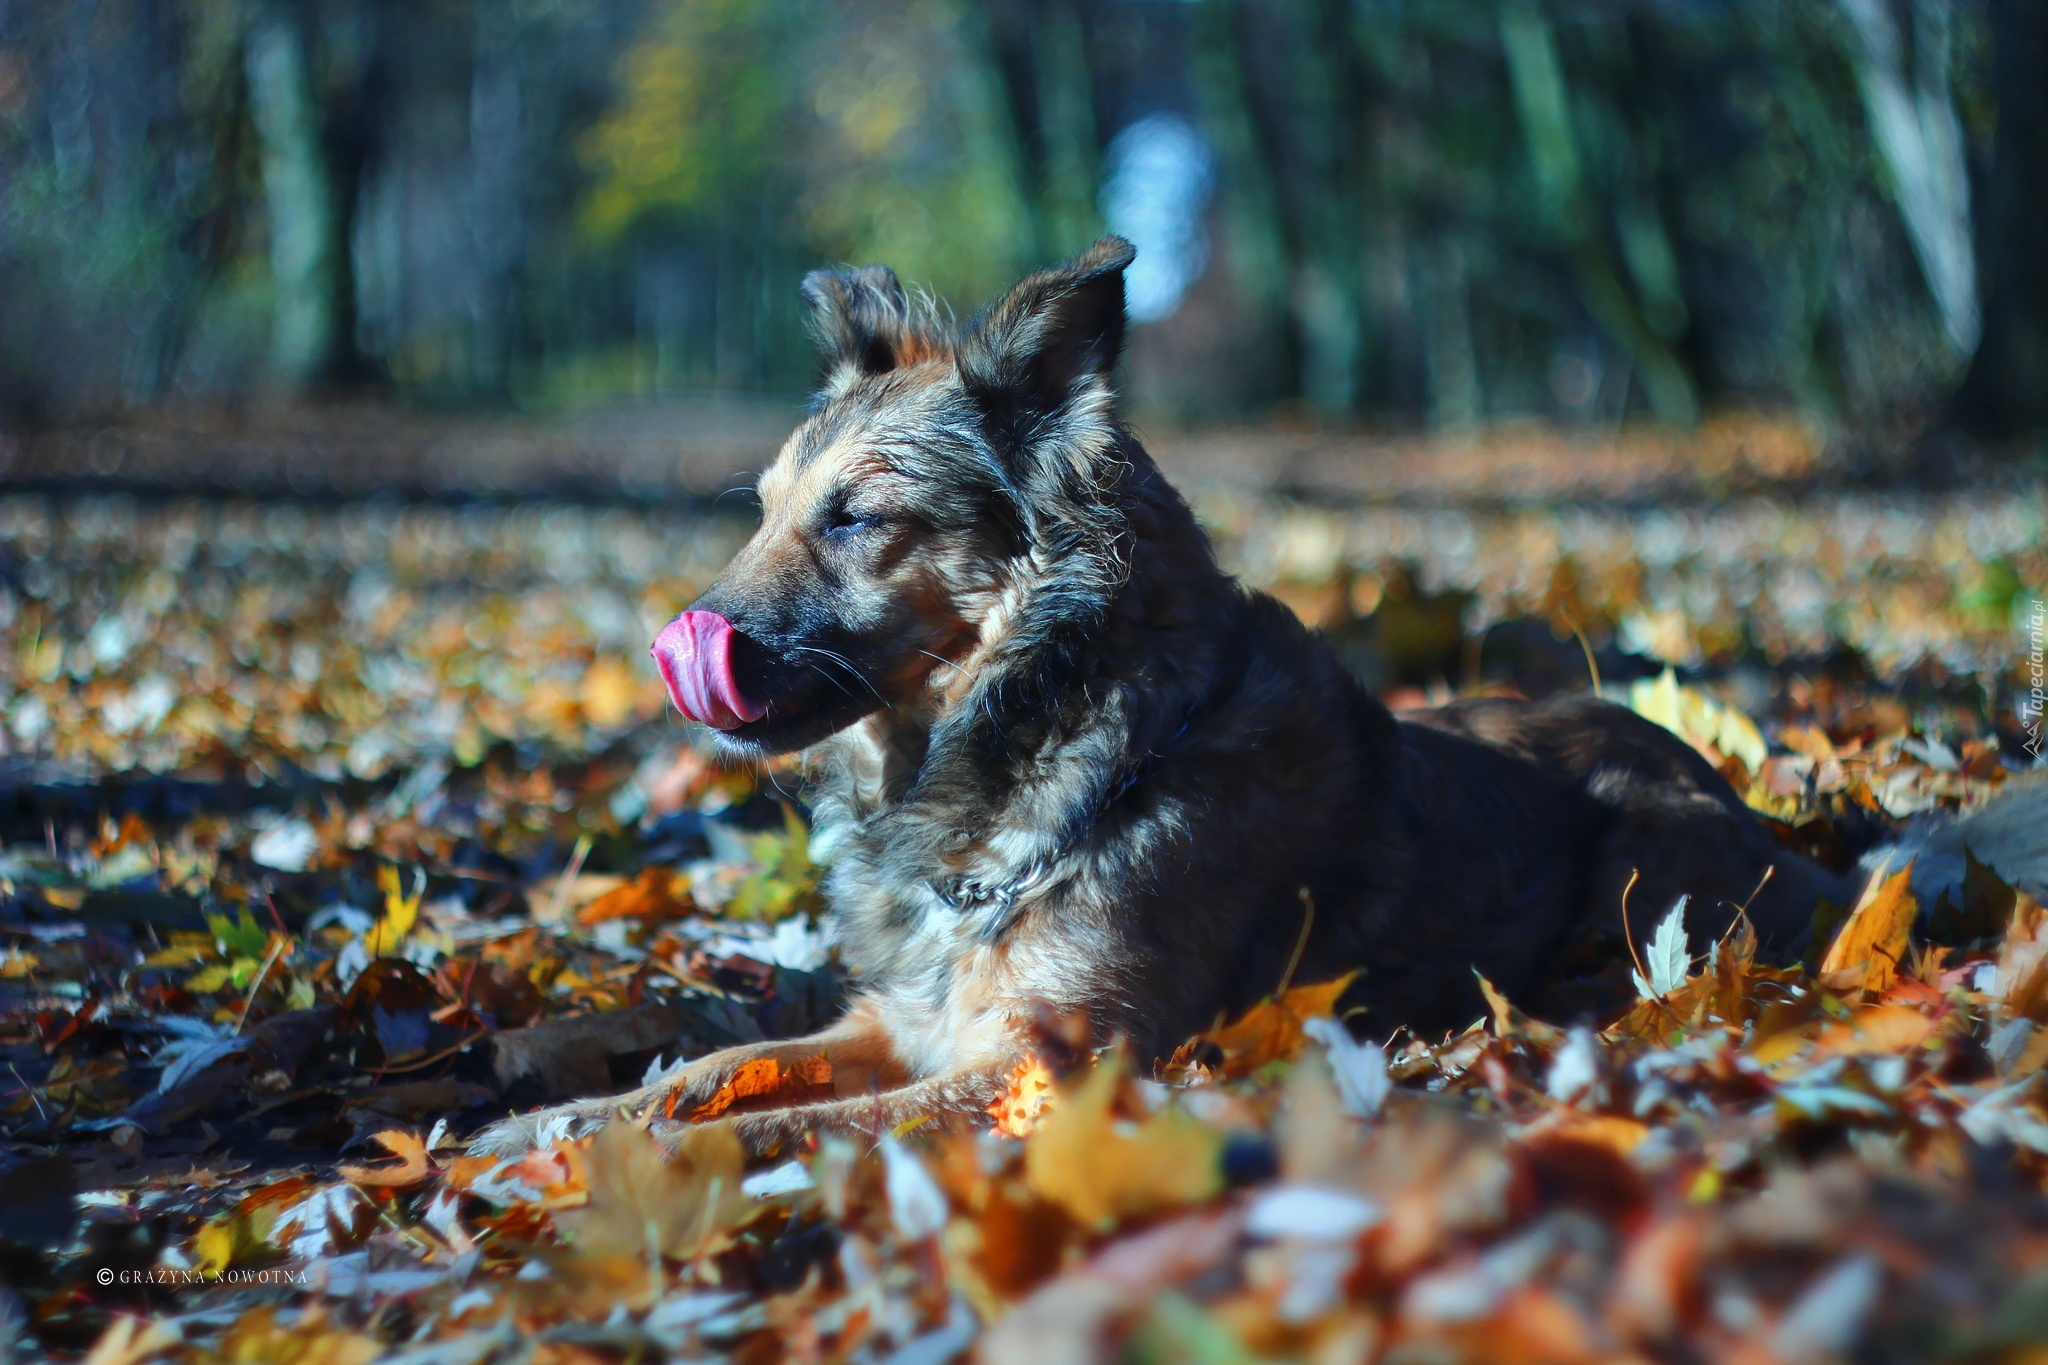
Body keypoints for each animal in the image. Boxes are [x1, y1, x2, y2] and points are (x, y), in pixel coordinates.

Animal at [479, 240, 1859, 1162]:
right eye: (762, 509)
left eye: (856, 519)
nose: (674, 655)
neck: (1068, 744)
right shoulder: (902, 1017)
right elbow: (715, 1065)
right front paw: (552, 1120)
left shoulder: (1054, 1062)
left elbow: (780, 1125)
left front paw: (613, 1158)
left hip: (1642, 864)